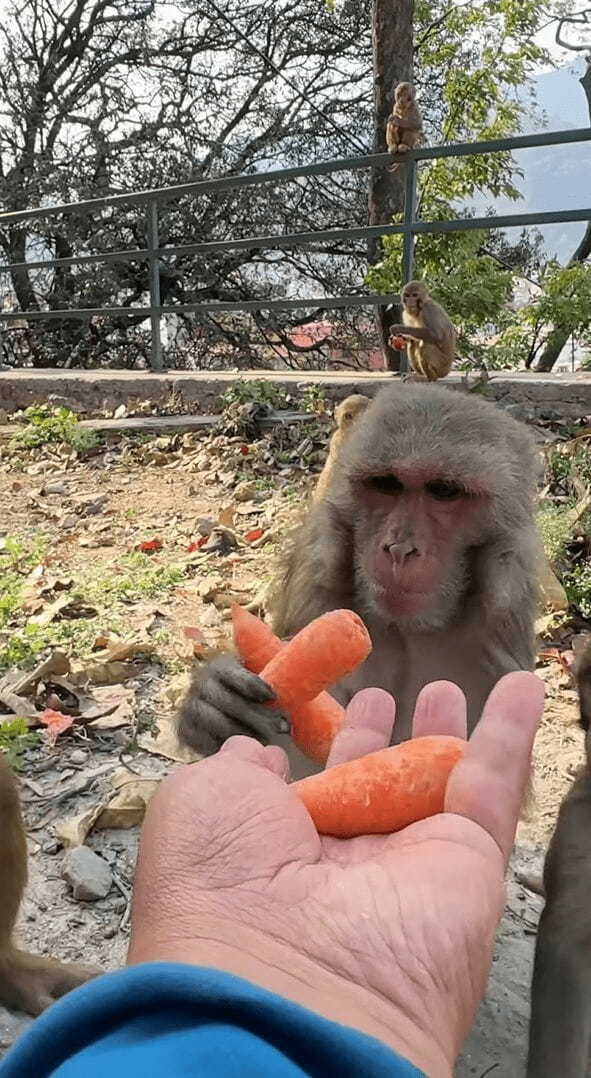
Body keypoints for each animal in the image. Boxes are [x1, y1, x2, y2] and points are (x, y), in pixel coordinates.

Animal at [176, 383, 539, 780]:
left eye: (444, 491)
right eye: (386, 484)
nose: (399, 548)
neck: (408, 628)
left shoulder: (495, 641)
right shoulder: (318, 590)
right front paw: (213, 699)